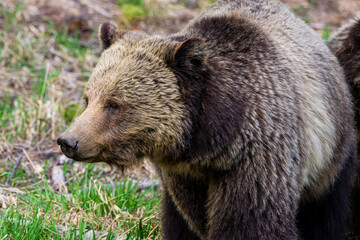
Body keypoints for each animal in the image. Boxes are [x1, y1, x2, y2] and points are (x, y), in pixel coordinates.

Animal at [57, 0, 356, 240]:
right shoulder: (184, 176)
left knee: (325, 209)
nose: (68, 141)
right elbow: (189, 216)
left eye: (113, 104)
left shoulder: (258, 154)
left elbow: (250, 221)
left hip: (330, 152)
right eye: (88, 98)